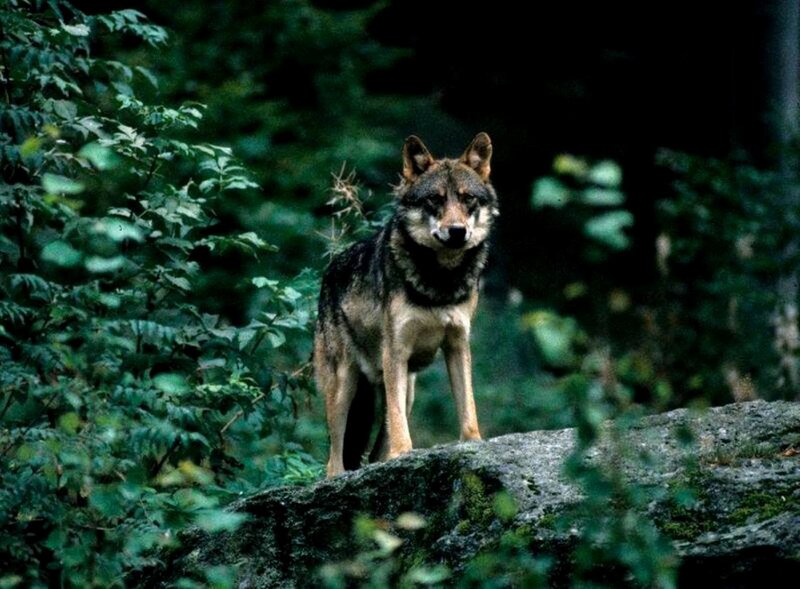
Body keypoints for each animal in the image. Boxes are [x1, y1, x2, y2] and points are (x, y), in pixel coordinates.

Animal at [314, 132, 498, 477]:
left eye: (467, 199)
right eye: (435, 200)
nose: (457, 231)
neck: (440, 281)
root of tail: (330, 270)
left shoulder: (457, 344)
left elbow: (467, 405)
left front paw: (474, 443)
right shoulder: (395, 351)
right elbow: (400, 425)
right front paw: (403, 454)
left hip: (405, 388)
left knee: (373, 454)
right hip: (344, 385)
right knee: (334, 459)